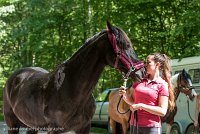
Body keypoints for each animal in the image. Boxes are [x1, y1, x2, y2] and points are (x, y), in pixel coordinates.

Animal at [2, 21, 145, 134]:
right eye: (124, 45)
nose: (141, 73)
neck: (71, 88)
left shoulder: (84, 127)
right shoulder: (54, 129)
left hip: (32, 126)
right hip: (12, 124)